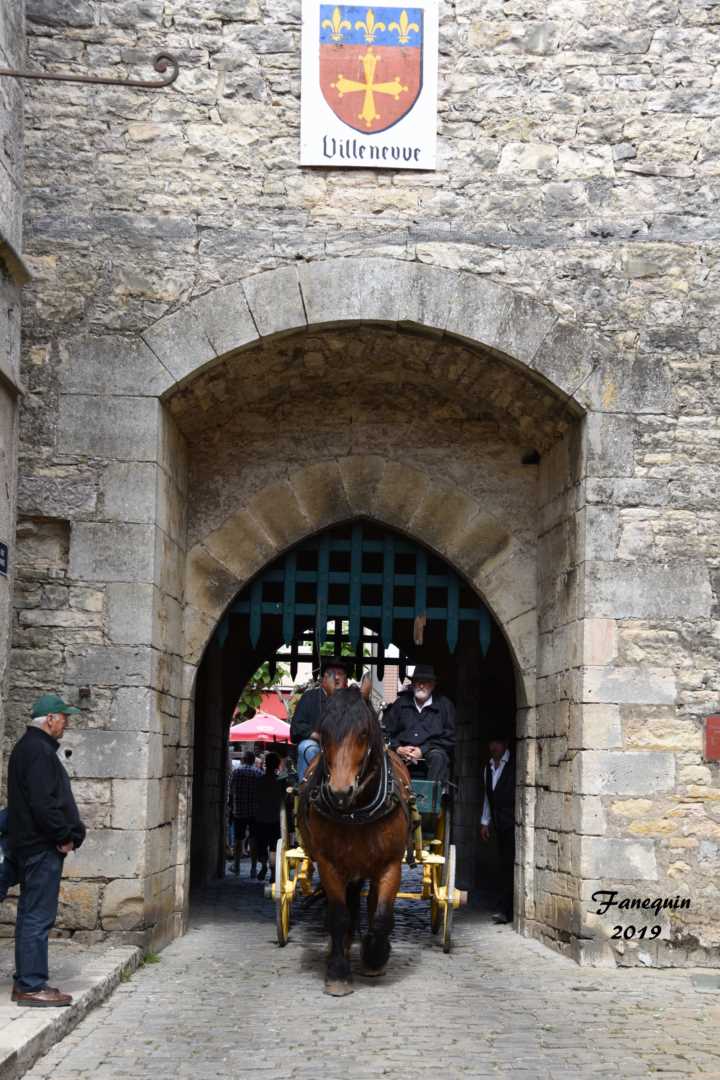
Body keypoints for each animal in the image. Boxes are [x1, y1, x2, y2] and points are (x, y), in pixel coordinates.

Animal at [297, 682, 410, 993]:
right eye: (323, 732)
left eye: (363, 732)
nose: (340, 792)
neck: (356, 811)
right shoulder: (329, 864)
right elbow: (338, 914)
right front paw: (338, 971)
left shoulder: (391, 864)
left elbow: (382, 915)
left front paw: (375, 954)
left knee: (369, 902)